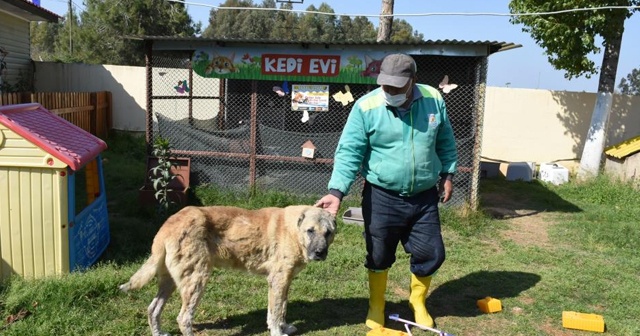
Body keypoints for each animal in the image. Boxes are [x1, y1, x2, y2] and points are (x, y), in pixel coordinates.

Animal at [121, 205, 340, 336]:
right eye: (310, 231)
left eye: (328, 233)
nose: (320, 253)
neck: (294, 231)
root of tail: (167, 225)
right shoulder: (279, 280)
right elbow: (277, 312)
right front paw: (278, 332)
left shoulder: (283, 282)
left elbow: (280, 309)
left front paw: (283, 327)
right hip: (196, 279)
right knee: (183, 318)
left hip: (170, 281)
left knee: (153, 309)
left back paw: (158, 333)